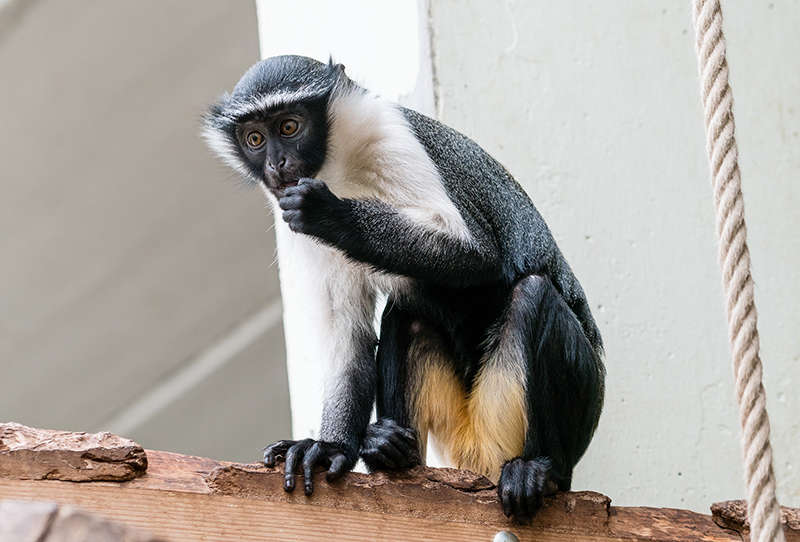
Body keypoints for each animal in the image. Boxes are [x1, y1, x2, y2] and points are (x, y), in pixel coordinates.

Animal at [203, 54, 604, 524]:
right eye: (254, 138)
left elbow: (479, 252)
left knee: (534, 294)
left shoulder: (390, 134)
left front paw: (332, 215)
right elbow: (348, 336)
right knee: (406, 313)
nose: (277, 165)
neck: (336, 165)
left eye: (288, 127)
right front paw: (329, 448)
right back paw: (394, 454)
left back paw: (539, 471)